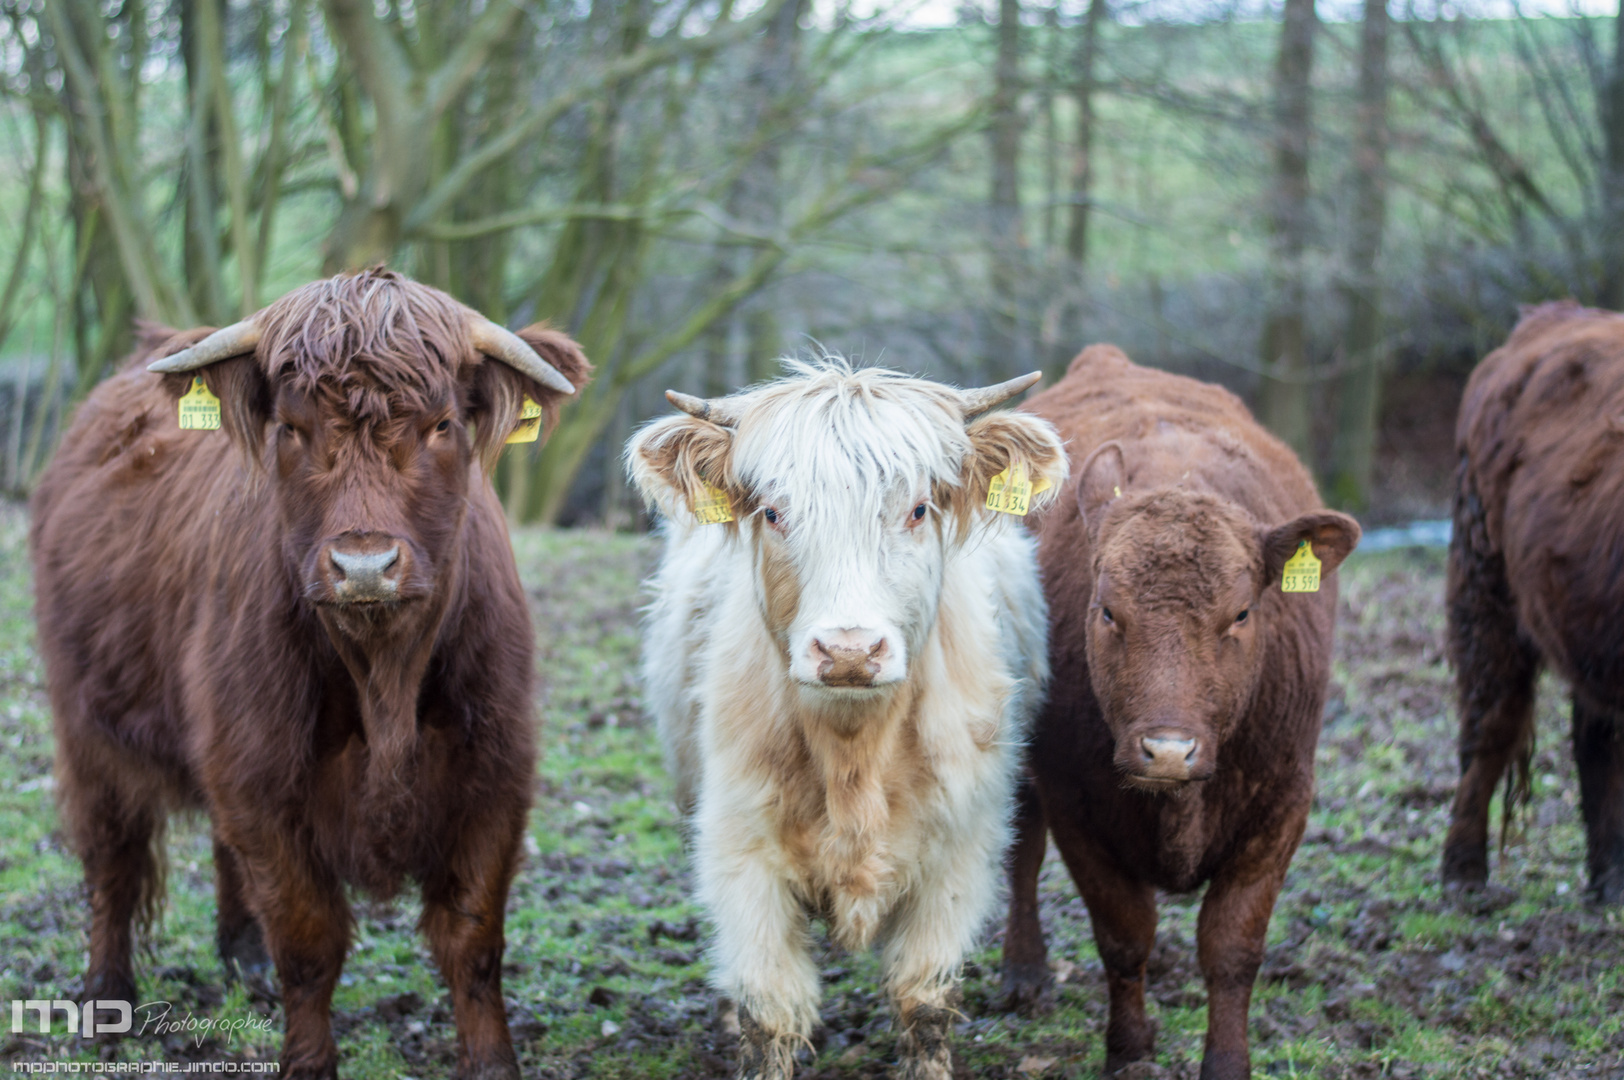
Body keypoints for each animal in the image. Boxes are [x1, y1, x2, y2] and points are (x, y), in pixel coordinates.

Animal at [33, 269, 591, 1078]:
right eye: (291, 430)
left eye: (441, 426)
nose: (363, 565)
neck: (384, 676)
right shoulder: (263, 776)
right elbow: (308, 942)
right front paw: (308, 1058)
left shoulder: (494, 774)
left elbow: (473, 940)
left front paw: (492, 1062)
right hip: (89, 724)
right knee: (113, 859)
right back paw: (106, 998)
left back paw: (242, 956)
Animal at [623, 362, 1065, 1078]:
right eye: (774, 512)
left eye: (918, 509)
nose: (849, 651)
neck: (854, 753)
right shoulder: (740, 853)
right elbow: (768, 1011)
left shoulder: (959, 856)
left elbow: (923, 1002)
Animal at [1000, 345, 1357, 1078]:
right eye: (1108, 609)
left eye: (1242, 612)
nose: (1167, 750)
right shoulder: (1077, 805)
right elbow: (1124, 935)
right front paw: (1129, 1050)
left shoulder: (1284, 802)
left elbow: (1231, 947)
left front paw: (1226, 1061)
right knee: (1022, 842)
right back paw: (1023, 972)